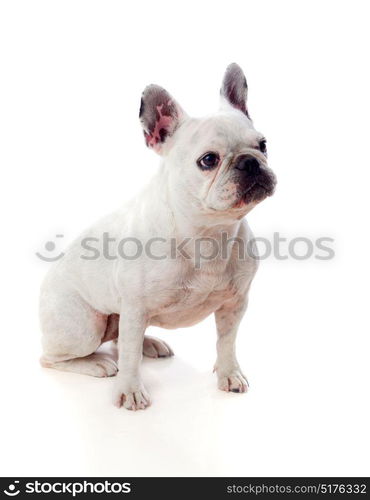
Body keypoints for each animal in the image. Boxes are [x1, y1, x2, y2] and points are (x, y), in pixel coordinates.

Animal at [39, 63, 274, 410]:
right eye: (208, 160)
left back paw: (148, 344)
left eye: (263, 145)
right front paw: (130, 390)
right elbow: (129, 359)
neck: (207, 233)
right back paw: (96, 364)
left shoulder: (235, 304)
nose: (250, 162)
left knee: (121, 340)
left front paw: (229, 373)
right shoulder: (135, 309)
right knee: (55, 357)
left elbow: (226, 343)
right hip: (84, 328)